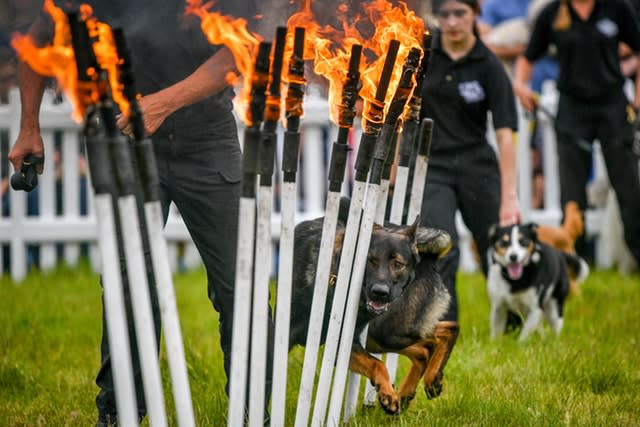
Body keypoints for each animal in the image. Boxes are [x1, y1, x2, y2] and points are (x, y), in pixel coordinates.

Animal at [290, 202, 456, 416]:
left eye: (397, 264)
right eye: (370, 260)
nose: (380, 292)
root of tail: (429, 259)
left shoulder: (345, 344)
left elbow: (378, 363)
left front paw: (388, 396)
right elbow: (376, 364)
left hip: (388, 332)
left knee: (447, 330)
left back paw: (428, 381)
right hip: (381, 337)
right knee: (424, 350)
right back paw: (408, 393)